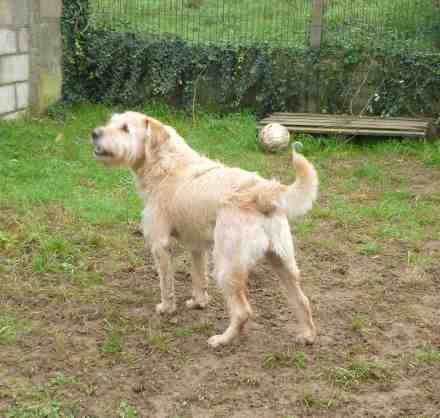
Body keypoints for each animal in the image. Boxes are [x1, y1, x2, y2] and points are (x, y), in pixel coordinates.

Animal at [91, 112, 318, 348]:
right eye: (111, 122)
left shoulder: (159, 245)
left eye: (125, 128)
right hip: (283, 263)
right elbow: (198, 279)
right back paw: (307, 335)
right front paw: (198, 303)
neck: (165, 162)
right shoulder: (196, 246)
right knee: (302, 300)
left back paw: (222, 339)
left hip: (227, 268)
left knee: (243, 312)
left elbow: (166, 284)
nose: (94, 133)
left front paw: (166, 309)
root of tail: (263, 191)